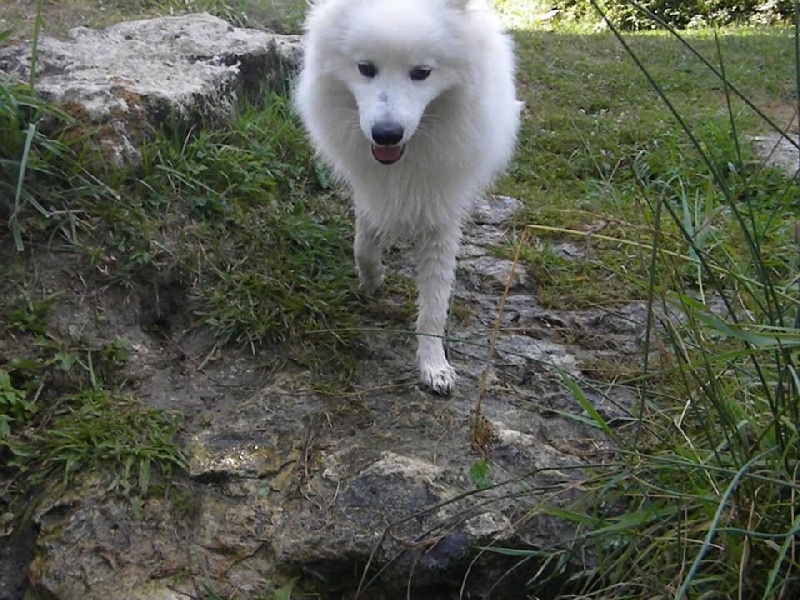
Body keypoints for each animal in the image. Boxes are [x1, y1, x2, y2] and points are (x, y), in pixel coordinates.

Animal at [294, 0, 520, 394]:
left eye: (422, 73)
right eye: (365, 69)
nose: (386, 134)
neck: (405, 158)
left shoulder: (442, 210)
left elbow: (435, 300)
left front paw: (434, 365)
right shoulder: (370, 189)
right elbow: (364, 245)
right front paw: (371, 280)